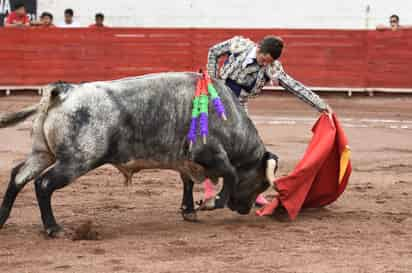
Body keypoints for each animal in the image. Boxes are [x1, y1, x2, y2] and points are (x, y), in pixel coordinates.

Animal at [0, 72, 278, 236]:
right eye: (262, 183)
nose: (244, 210)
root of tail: (65, 92)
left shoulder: (186, 160)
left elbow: (187, 182)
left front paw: (189, 211)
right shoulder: (208, 153)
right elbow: (230, 174)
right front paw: (209, 204)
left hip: (42, 153)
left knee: (18, 176)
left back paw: (2, 218)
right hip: (77, 161)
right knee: (44, 184)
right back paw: (53, 228)